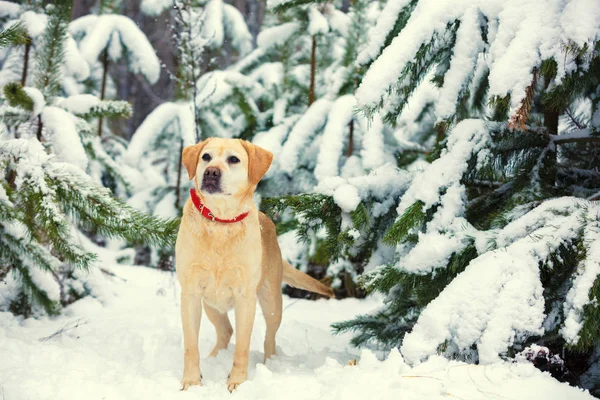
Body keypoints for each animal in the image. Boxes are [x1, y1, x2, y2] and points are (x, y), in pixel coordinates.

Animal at [176, 138, 336, 390]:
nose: (211, 172)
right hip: (211, 304)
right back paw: (214, 357)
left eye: (233, 159)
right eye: (206, 157)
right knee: (225, 331)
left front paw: (237, 382)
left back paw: (270, 364)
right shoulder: (190, 294)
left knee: (269, 338)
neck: (220, 221)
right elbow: (191, 346)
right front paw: (192, 383)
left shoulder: (246, 297)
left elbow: (242, 347)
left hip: (272, 303)